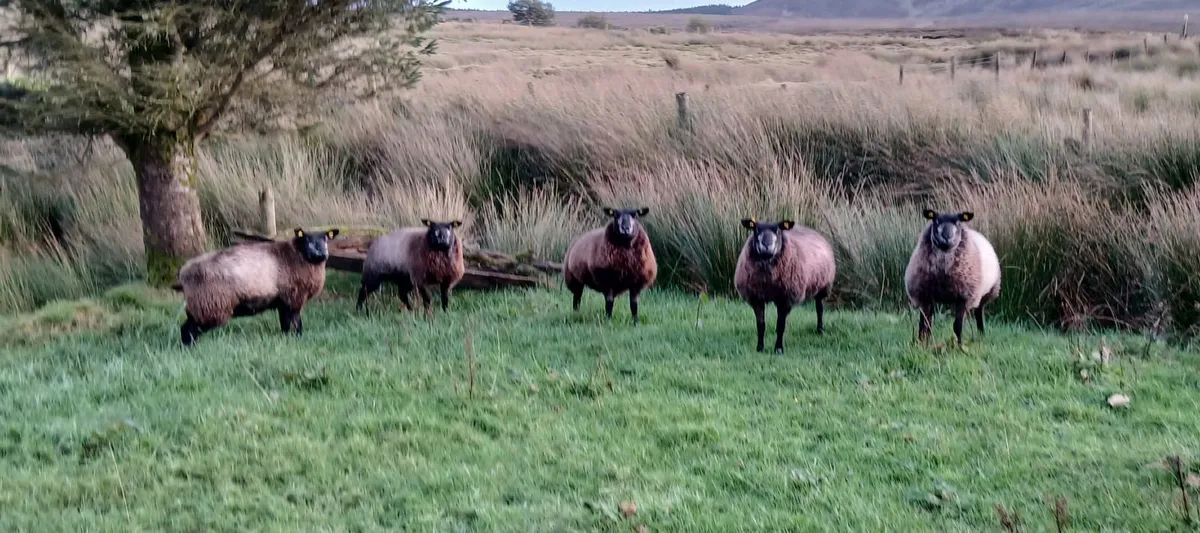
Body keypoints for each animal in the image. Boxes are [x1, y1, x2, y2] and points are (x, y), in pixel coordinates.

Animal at [175, 227, 339, 346]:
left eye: (326, 238)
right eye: (306, 239)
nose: (321, 254)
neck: (298, 256)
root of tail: (184, 272)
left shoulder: (283, 301)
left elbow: (285, 323)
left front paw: (286, 338)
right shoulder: (294, 298)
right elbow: (296, 322)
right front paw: (298, 338)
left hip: (198, 306)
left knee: (187, 328)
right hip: (209, 305)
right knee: (188, 329)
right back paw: (190, 349)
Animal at [734, 218, 836, 354]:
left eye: (777, 230)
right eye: (756, 229)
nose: (767, 244)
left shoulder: (785, 298)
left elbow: (781, 325)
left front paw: (778, 349)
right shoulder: (757, 298)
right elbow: (761, 325)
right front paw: (760, 348)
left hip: (823, 286)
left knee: (819, 308)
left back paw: (820, 330)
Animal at [903, 209, 1001, 346]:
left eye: (958, 221)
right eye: (936, 220)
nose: (947, 236)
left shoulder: (964, 298)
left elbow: (957, 325)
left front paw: (958, 345)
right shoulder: (924, 296)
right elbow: (924, 323)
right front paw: (922, 343)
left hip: (988, 292)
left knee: (979, 312)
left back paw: (981, 334)